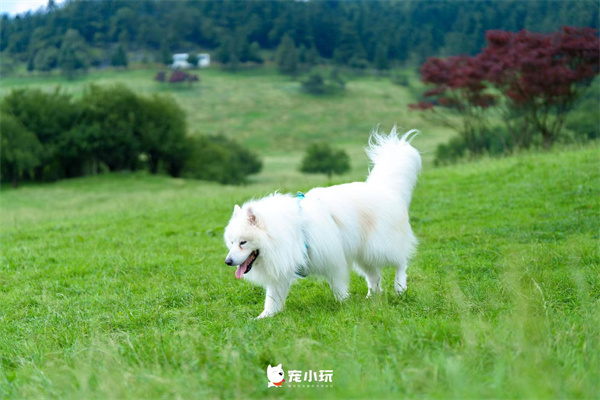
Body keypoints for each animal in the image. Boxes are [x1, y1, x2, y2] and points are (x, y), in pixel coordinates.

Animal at [224, 127, 421, 318]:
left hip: (379, 248)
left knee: (401, 261)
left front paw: (343, 305)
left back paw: (400, 287)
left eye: (243, 242)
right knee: (374, 277)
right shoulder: (282, 269)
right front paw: (264, 317)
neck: (280, 233)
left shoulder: (332, 260)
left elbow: (338, 287)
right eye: (232, 243)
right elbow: (272, 299)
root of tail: (384, 189)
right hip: (364, 254)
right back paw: (371, 297)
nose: (227, 261)